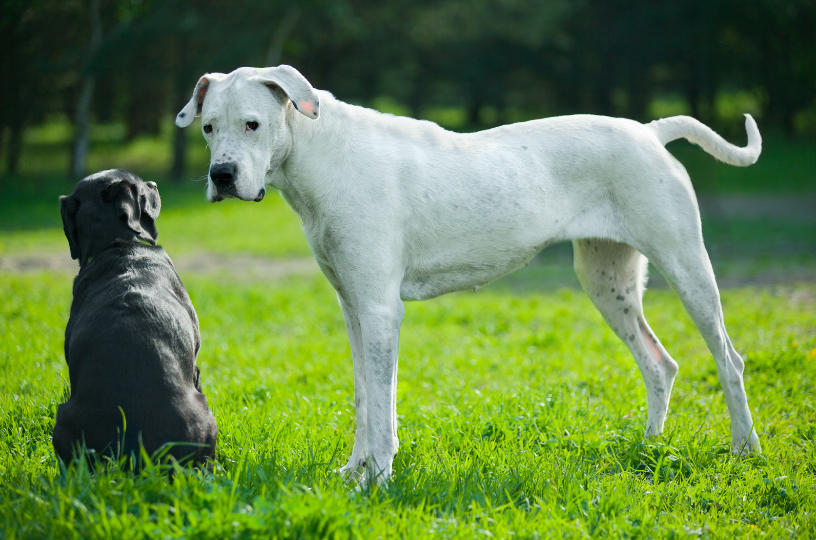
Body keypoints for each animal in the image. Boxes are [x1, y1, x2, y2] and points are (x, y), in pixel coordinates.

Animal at [175, 64, 760, 486]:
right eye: (208, 128)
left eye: (252, 124)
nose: (221, 175)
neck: (325, 156)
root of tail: (649, 132)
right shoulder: (354, 309)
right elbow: (364, 401)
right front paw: (353, 472)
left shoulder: (381, 312)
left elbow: (383, 410)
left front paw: (377, 483)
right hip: (606, 282)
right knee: (659, 364)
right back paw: (649, 446)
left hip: (687, 268)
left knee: (729, 360)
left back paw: (744, 450)